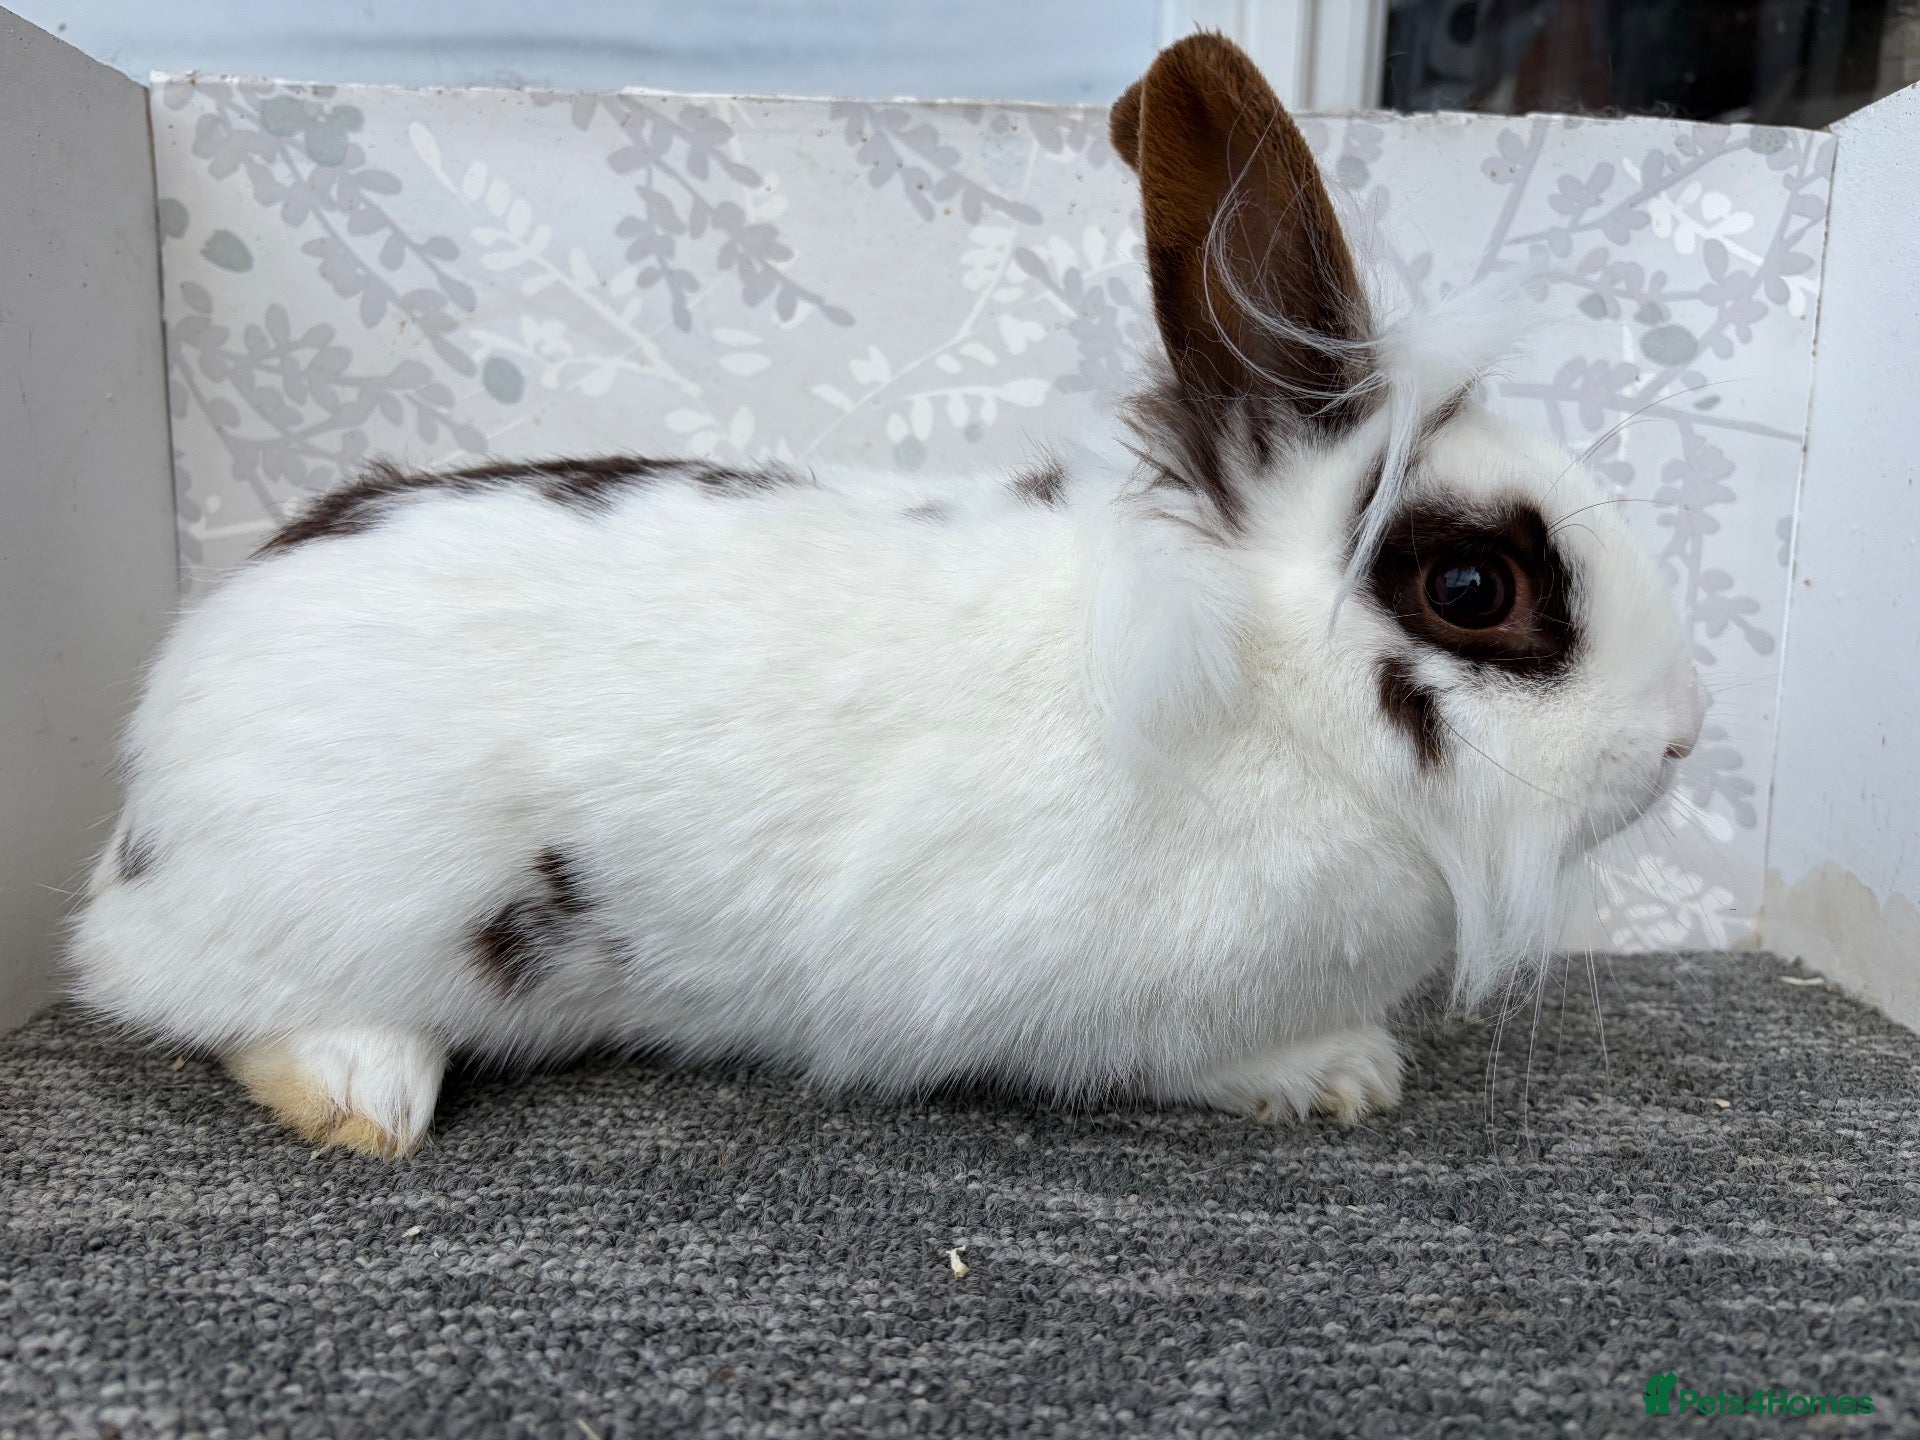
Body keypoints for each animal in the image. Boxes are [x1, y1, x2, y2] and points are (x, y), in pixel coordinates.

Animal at [69, 33, 1705, 1158]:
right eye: (1473, 584)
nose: (1682, 737)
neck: (1265, 693)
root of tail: (146, 783)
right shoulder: (1083, 1000)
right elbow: (1181, 1056)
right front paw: (1341, 1075)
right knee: (205, 1000)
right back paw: (363, 1096)